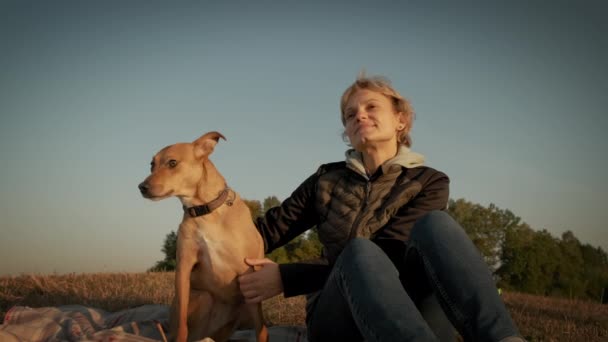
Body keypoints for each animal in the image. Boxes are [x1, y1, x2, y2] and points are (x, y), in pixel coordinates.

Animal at [140, 132, 268, 342]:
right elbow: (182, 322)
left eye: (172, 163)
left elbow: (261, 329)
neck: (205, 211)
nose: (141, 187)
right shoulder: (184, 267)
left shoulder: (250, 272)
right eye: (152, 164)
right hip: (204, 297)